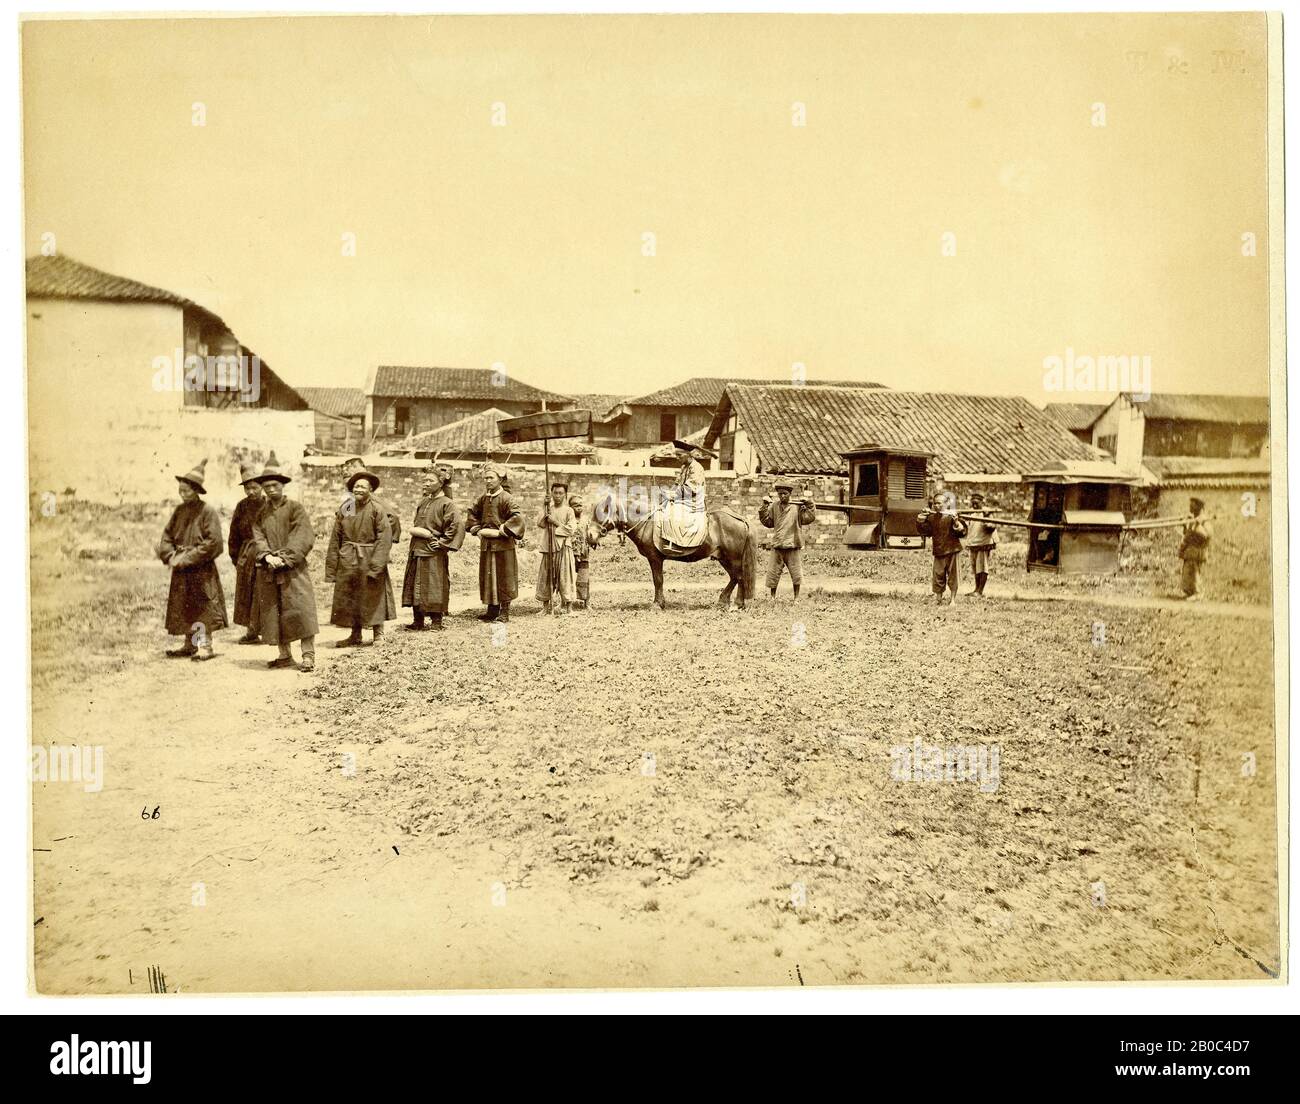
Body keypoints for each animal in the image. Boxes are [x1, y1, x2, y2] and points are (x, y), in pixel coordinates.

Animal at [592, 494, 759, 611]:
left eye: (602, 512)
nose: (590, 536)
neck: (647, 522)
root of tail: (740, 519)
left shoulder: (655, 558)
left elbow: (658, 580)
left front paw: (657, 604)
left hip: (733, 558)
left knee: (739, 577)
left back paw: (737, 604)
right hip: (724, 558)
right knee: (734, 578)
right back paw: (724, 601)